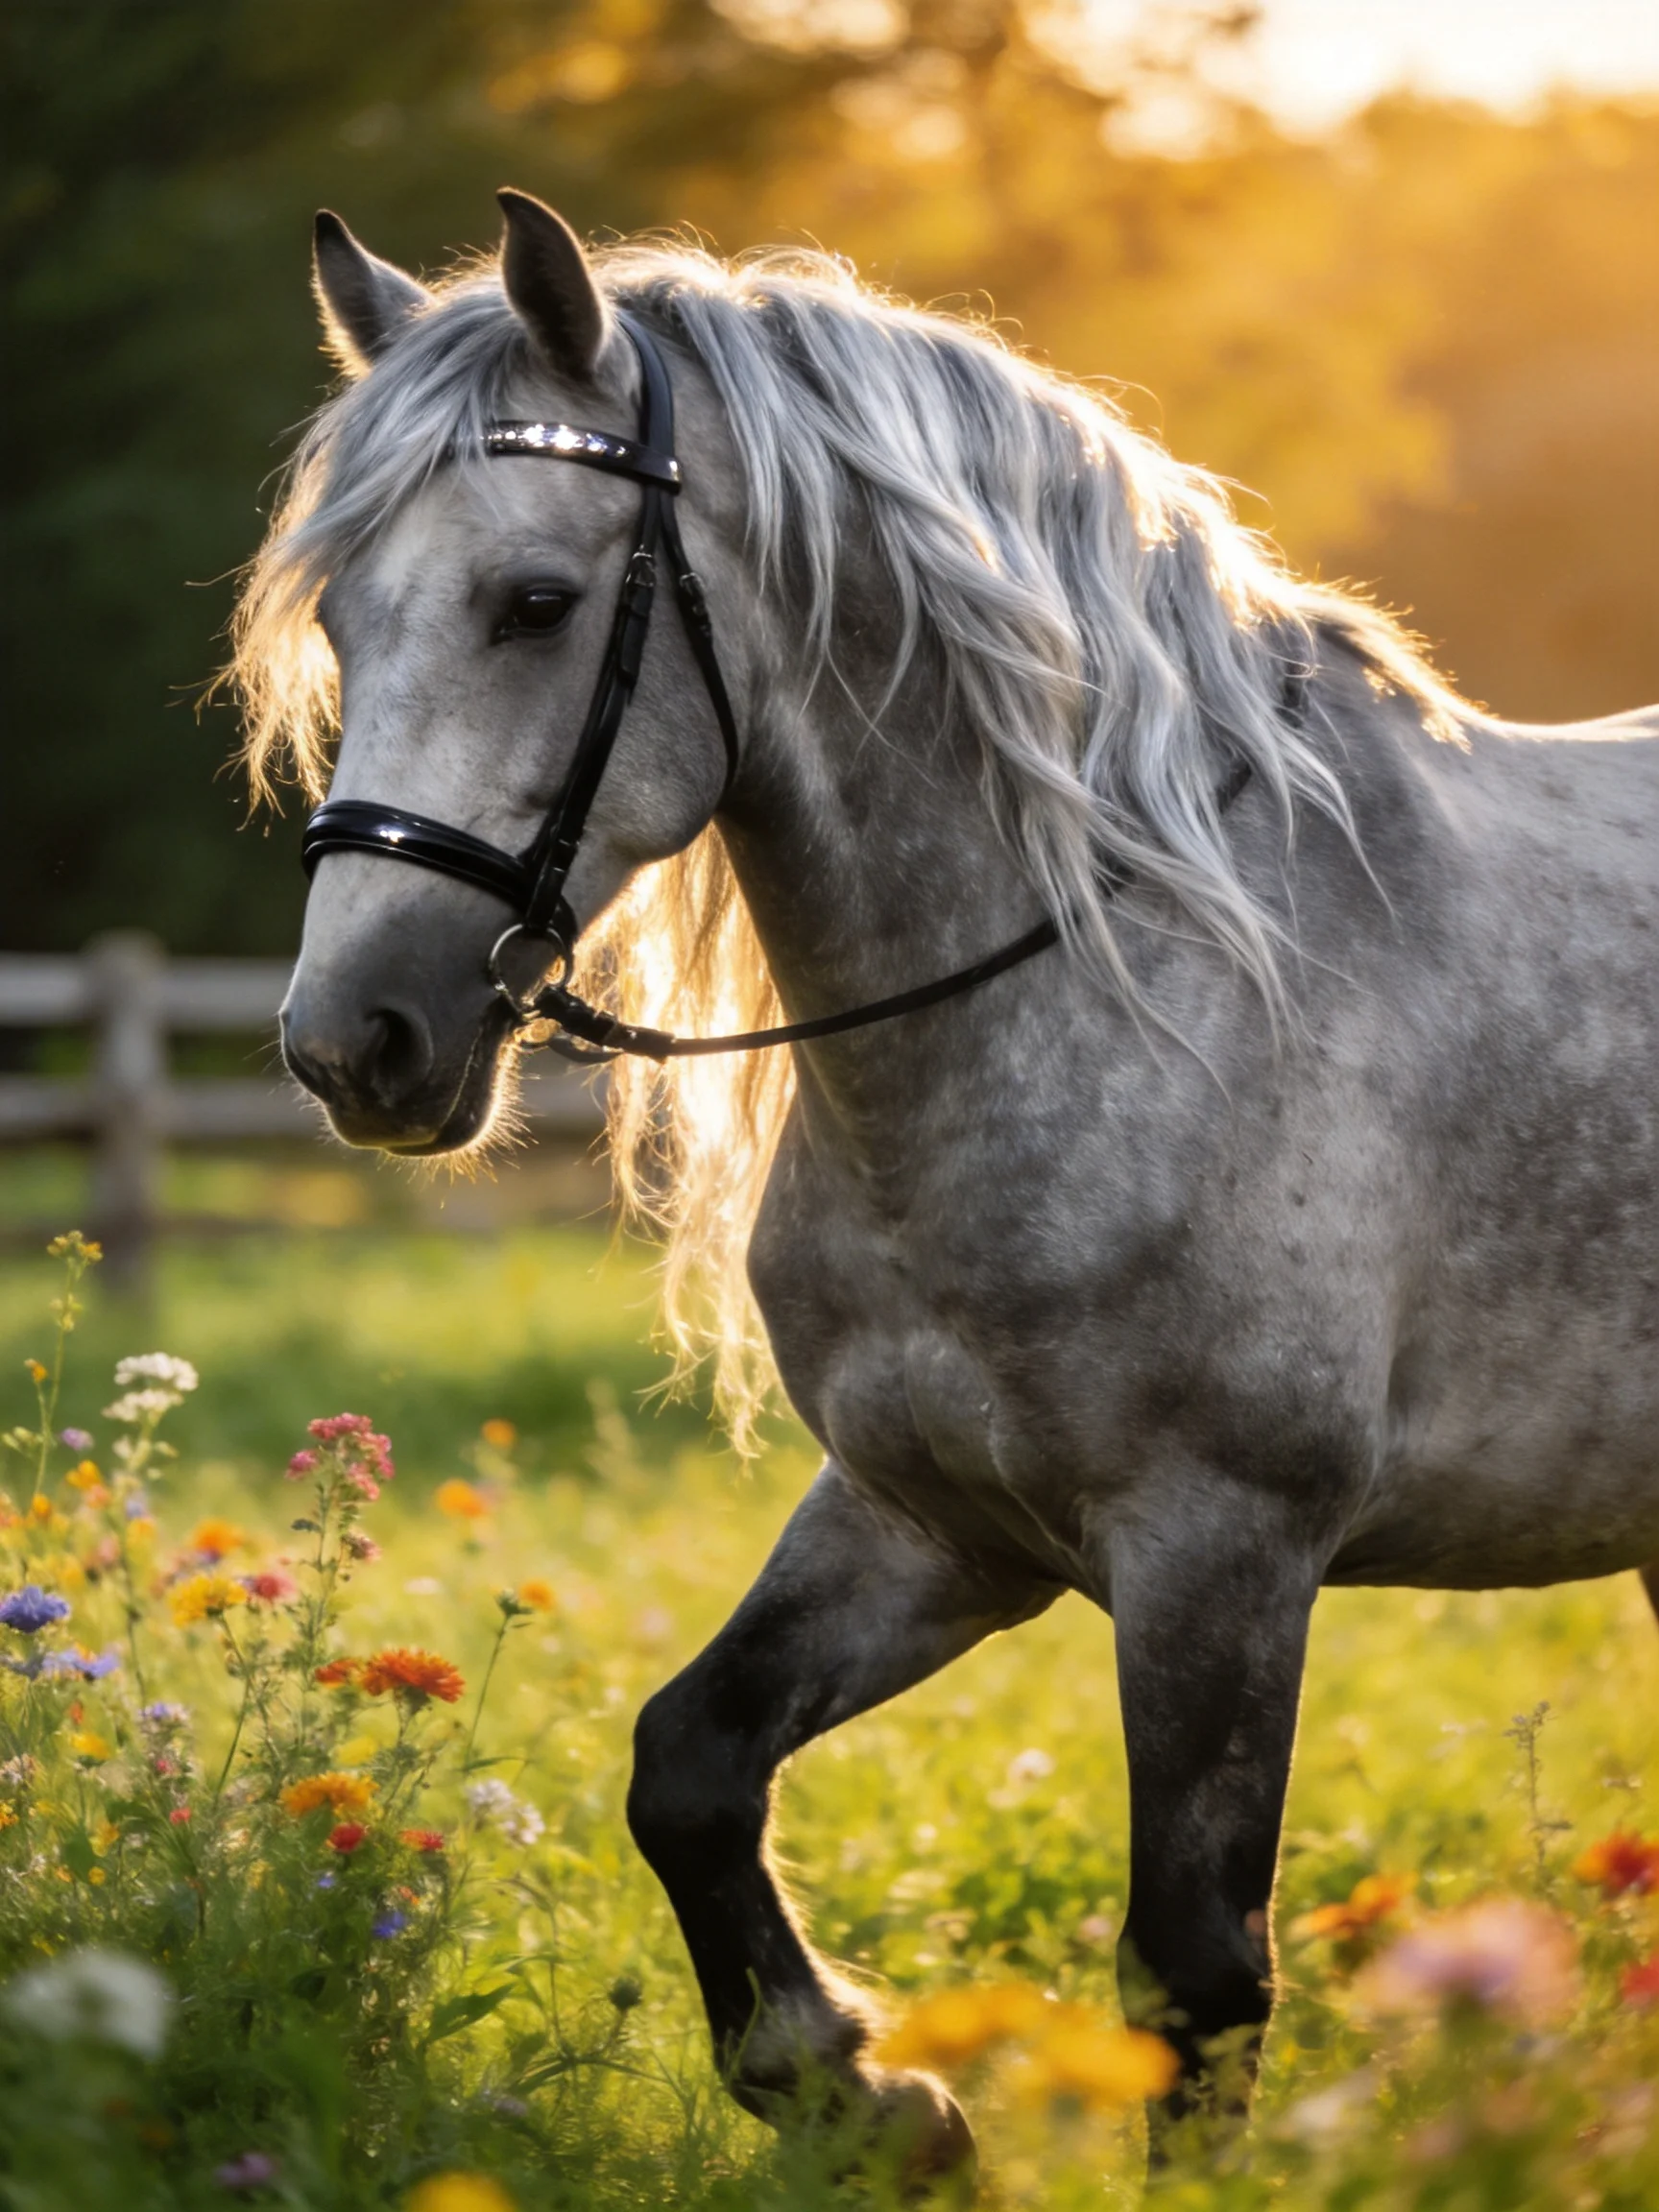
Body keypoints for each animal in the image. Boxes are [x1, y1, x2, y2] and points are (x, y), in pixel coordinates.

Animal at [235, 190, 1659, 2183]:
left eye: (533, 602)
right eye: (344, 622)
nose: (352, 1040)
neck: (1129, 977)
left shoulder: (1217, 1549)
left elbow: (1191, 1976)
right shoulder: (933, 1522)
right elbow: (685, 1764)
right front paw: (872, 2098)